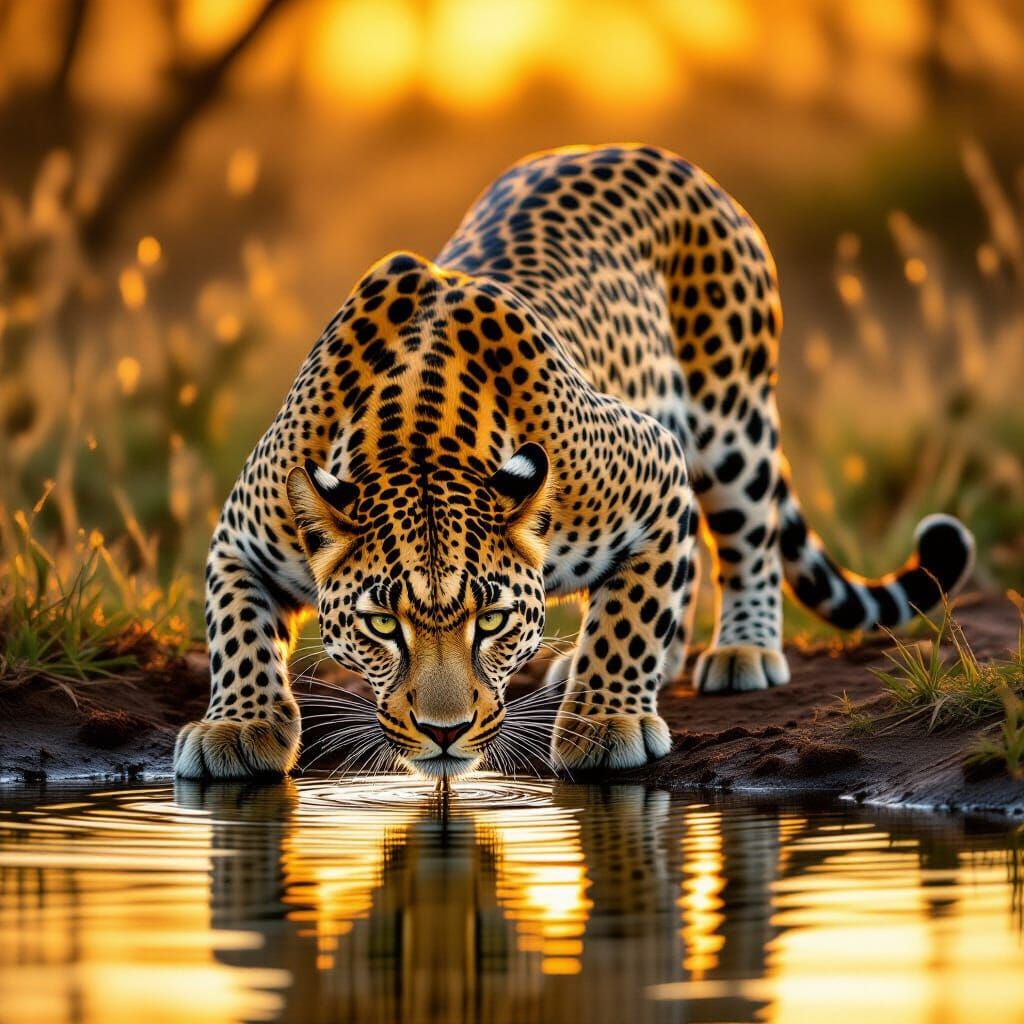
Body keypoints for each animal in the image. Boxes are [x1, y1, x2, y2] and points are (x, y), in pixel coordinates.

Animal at [173, 144, 974, 780]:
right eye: (380, 626)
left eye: (493, 620)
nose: (443, 734)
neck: (418, 440)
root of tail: (658, 155)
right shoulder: (239, 538)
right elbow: (237, 630)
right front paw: (239, 727)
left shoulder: (656, 468)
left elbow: (631, 618)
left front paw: (604, 723)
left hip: (731, 417)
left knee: (745, 536)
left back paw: (739, 651)